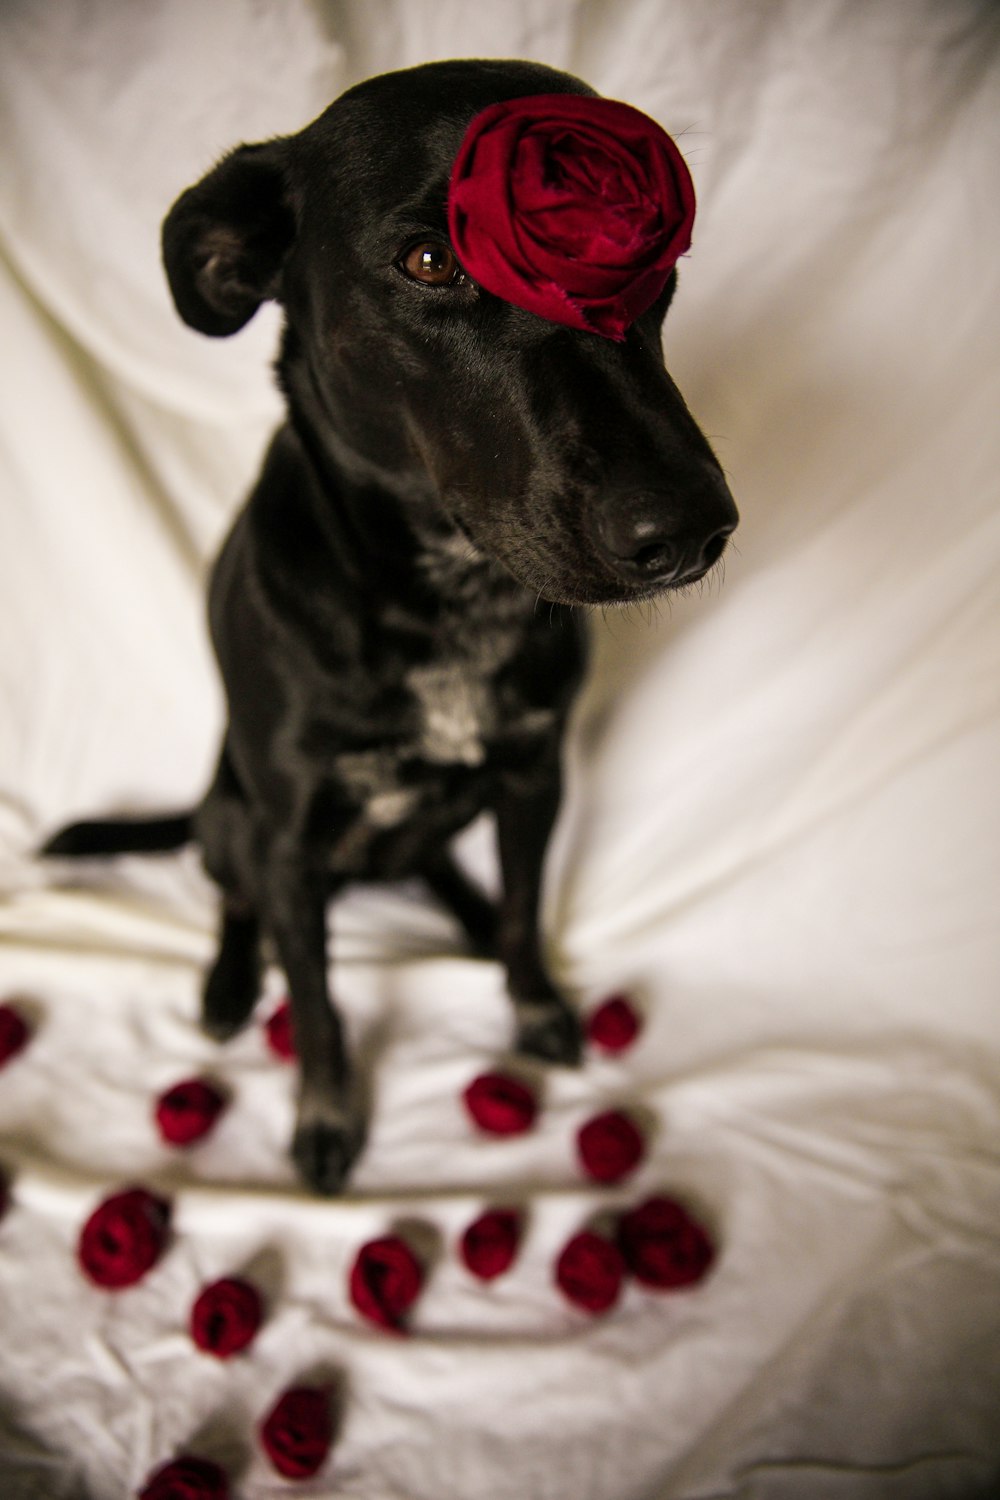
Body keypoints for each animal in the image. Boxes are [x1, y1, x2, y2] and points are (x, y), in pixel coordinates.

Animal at [44, 61, 734, 1194]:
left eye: (651, 264)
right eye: (428, 261)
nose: (689, 529)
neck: (447, 598)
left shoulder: (534, 775)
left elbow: (526, 911)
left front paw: (530, 999)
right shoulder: (287, 839)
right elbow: (317, 1004)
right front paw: (326, 1118)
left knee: (442, 866)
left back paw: (461, 915)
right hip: (232, 813)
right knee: (232, 898)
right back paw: (229, 982)